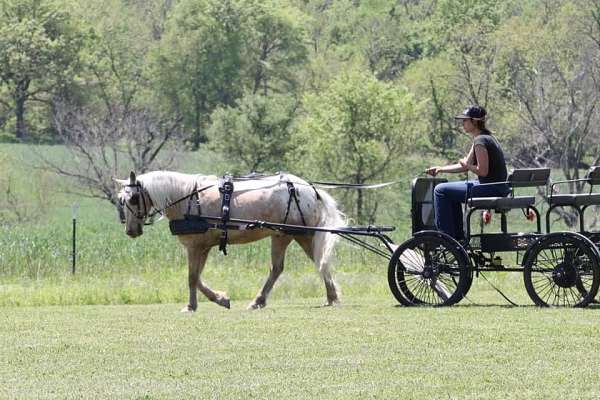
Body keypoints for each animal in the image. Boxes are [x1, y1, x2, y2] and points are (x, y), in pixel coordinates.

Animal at [115, 170, 344, 310]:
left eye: (134, 198)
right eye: (121, 200)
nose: (130, 230)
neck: (188, 198)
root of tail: (309, 189)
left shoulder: (195, 246)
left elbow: (192, 277)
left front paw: (193, 305)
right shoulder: (203, 246)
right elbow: (197, 277)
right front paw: (219, 299)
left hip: (298, 234)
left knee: (316, 262)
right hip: (283, 235)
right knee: (281, 268)